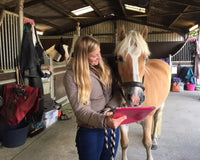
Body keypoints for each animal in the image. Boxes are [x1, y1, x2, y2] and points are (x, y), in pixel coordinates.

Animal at [115, 27, 171, 160]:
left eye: (145, 58)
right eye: (120, 58)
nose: (135, 98)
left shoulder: (147, 119)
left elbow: (147, 143)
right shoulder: (122, 121)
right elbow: (124, 143)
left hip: (161, 105)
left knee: (156, 119)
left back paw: (154, 140)